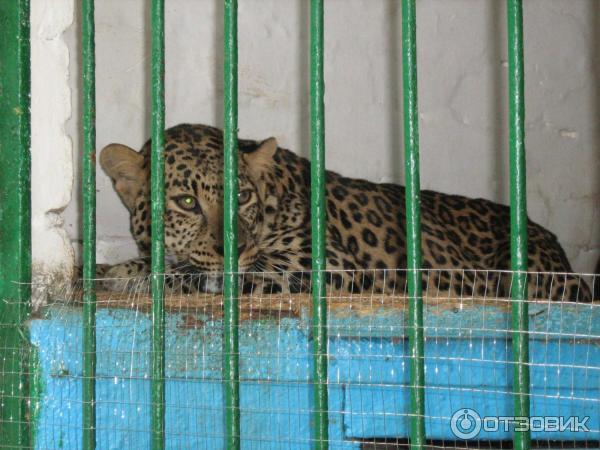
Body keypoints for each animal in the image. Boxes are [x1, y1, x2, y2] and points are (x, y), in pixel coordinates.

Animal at [97, 123, 592, 302]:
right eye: (186, 202)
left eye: (241, 198)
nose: (233, 249)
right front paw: (109, 269)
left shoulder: (322, 263)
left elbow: (206, 274)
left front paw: (129, 275)